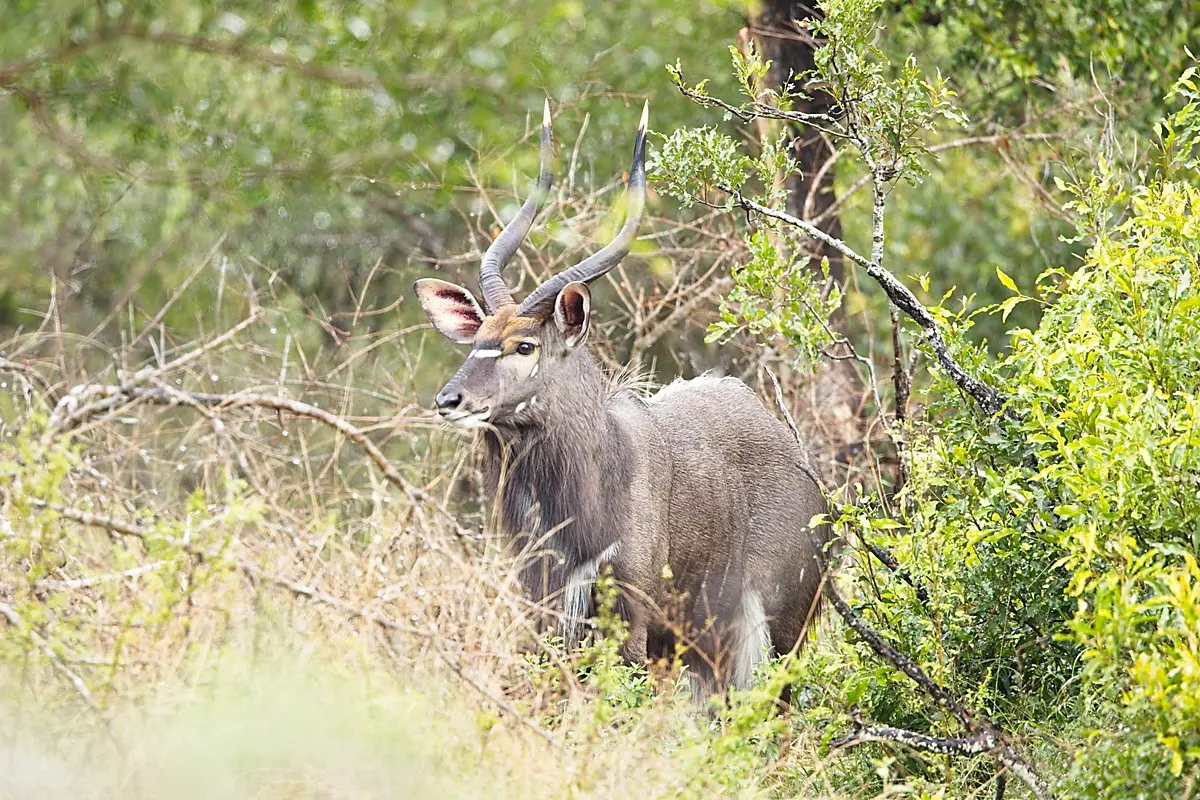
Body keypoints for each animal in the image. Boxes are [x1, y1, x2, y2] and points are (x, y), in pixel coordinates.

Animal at [410, 101, 825, 695]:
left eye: (524, 345)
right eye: (478, 337)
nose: (450, 400)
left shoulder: (629, 614)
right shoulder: (547, 604)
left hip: (774, 630)